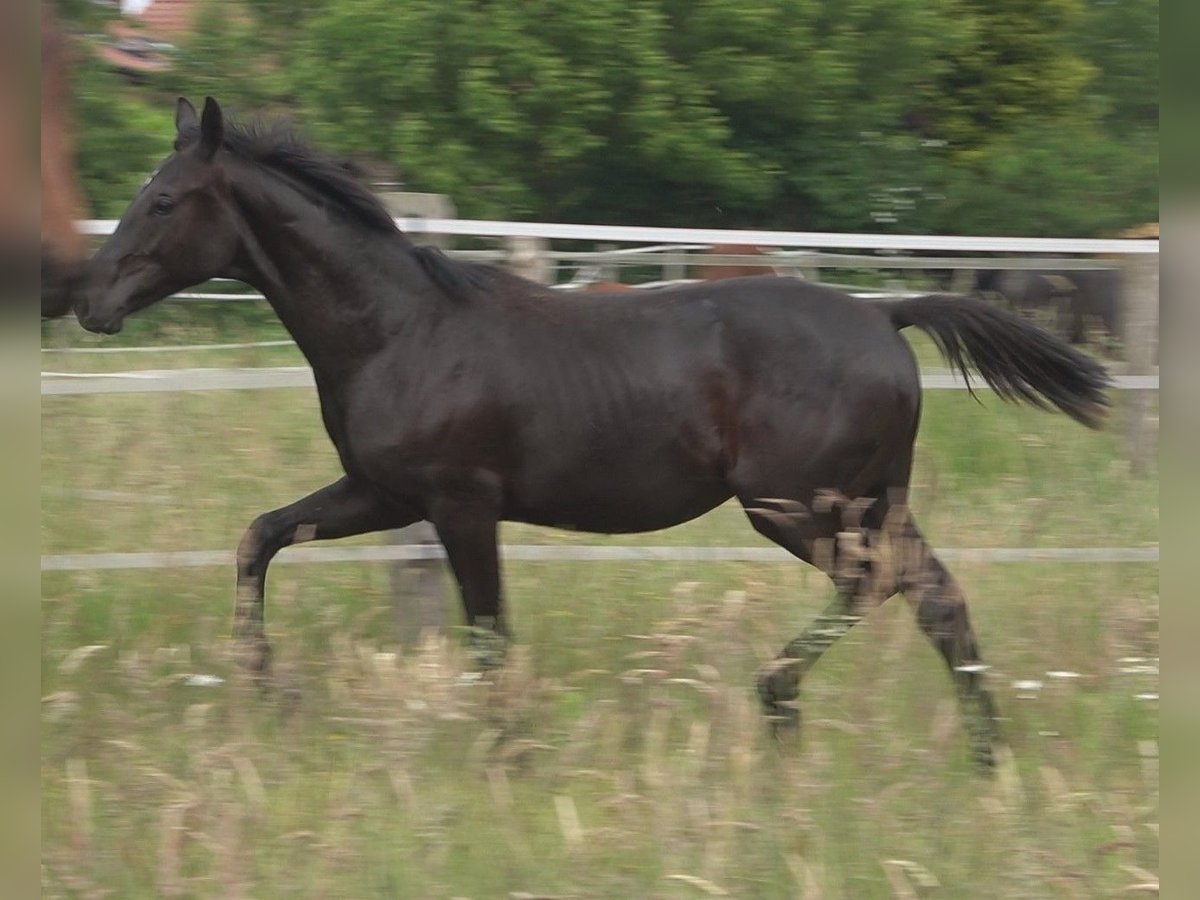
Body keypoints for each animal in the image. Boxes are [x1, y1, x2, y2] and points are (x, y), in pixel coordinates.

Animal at [70, 98, 1108, 768]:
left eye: (163, 200)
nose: (88, 300)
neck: (400, 330)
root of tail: (886, 315)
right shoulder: (385, 494)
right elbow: (260, 536)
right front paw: (265, 688)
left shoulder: (459, 501)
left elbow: (489, 632)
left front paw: (510, 759)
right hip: (868, 497)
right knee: (938, 596)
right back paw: (982, 758)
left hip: (796, 504)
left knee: (878, 584)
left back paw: (779, 703)